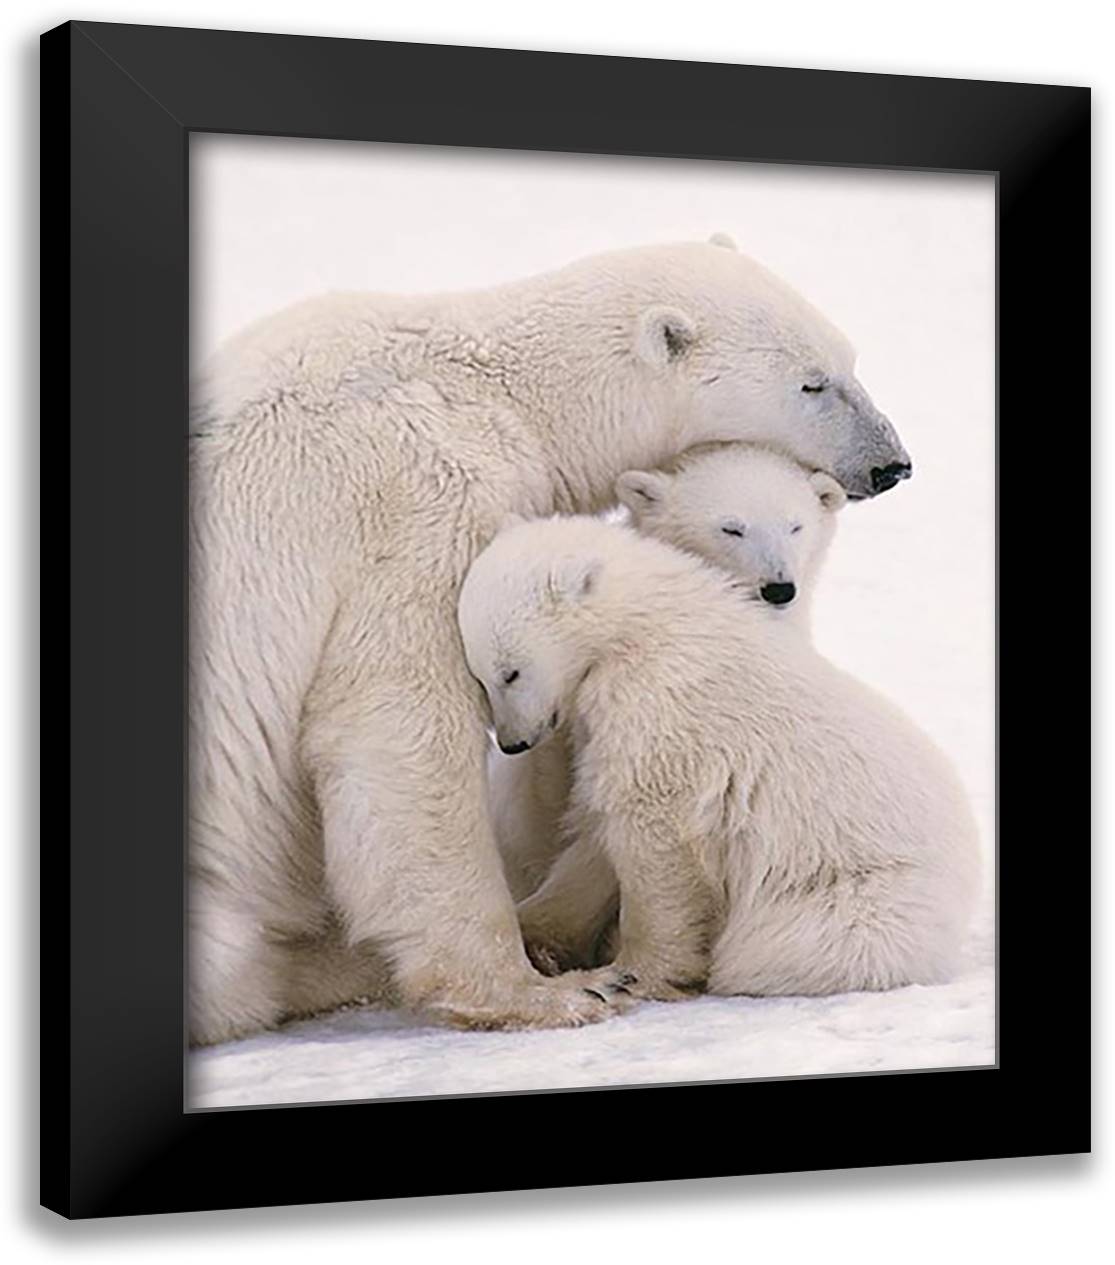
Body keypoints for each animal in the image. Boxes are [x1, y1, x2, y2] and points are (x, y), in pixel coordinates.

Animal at [458, 513, 980, 1001]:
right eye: (480, 676)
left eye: (510, 672)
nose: (512, 743)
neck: (641, 624)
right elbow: (596, 833)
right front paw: (538, 934)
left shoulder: (659, 706)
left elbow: (654, 838)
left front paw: (636, 972)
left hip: (863, 892)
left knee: (784, 946)